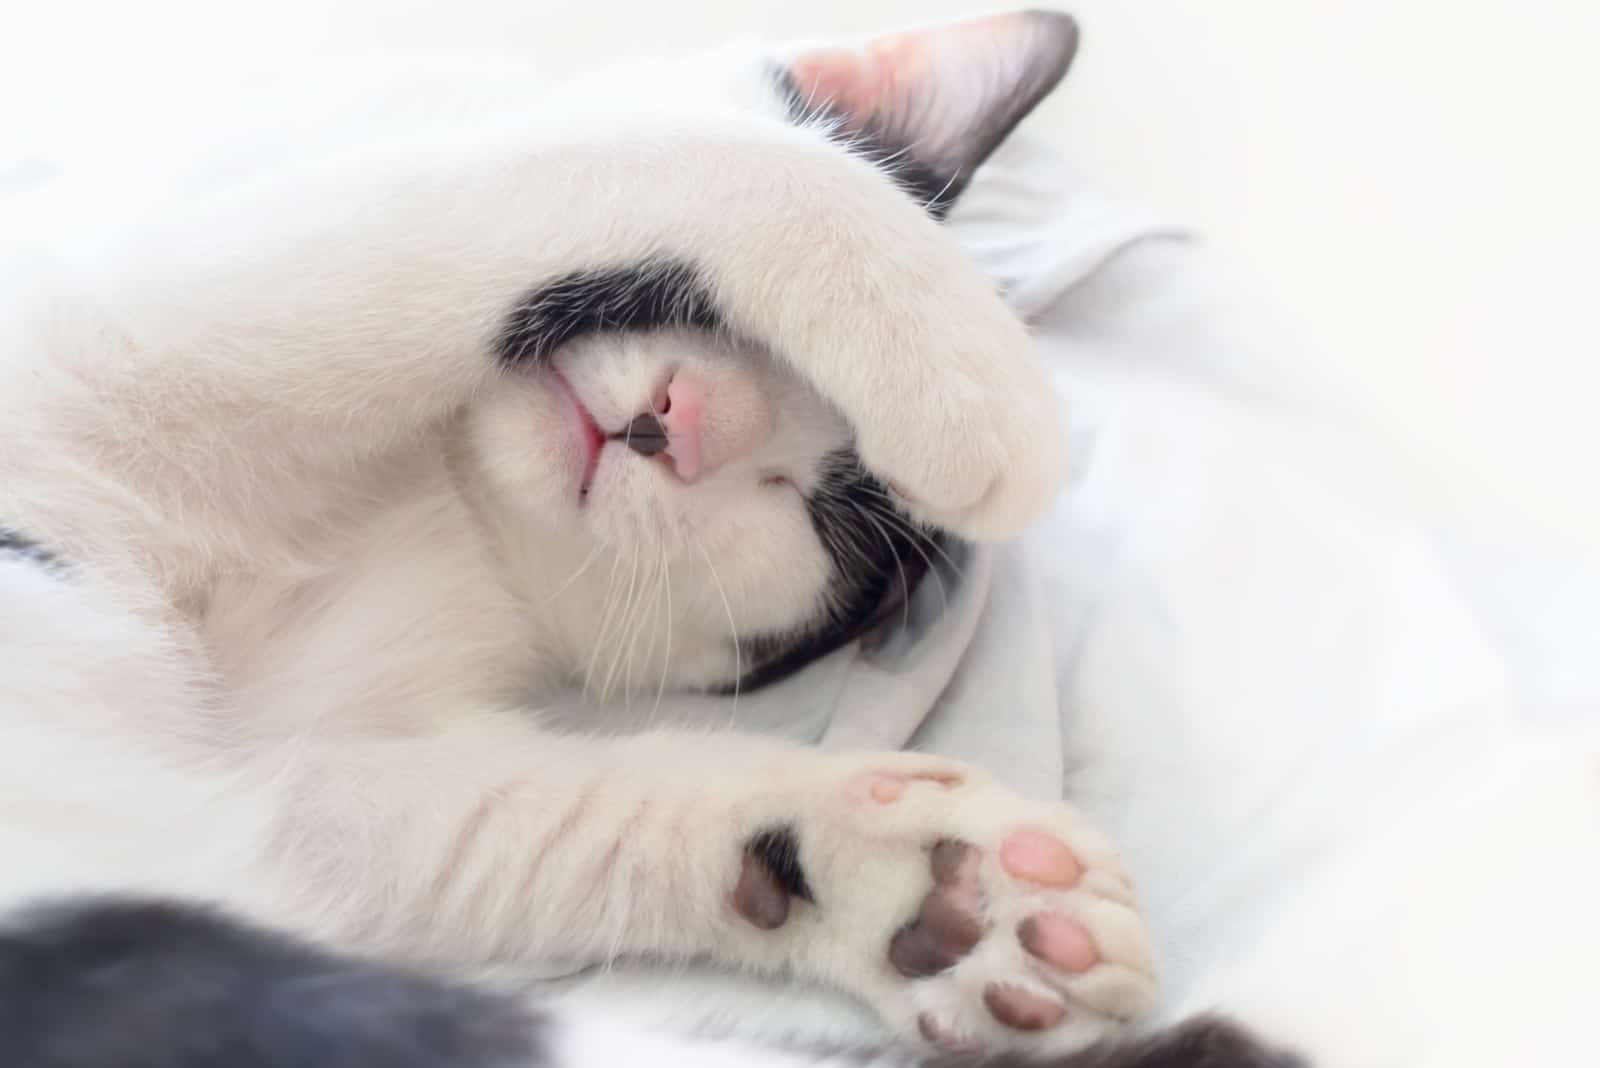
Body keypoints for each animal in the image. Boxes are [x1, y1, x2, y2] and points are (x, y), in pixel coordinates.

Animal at [0, 8, 1292, 1068]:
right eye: (702, 318)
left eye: (816, 513)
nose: (678, 421)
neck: (444, 501)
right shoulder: (123, 312)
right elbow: (680, 157)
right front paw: (980, 381)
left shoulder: (307, 765)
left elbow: (485, 824)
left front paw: (941, 890)